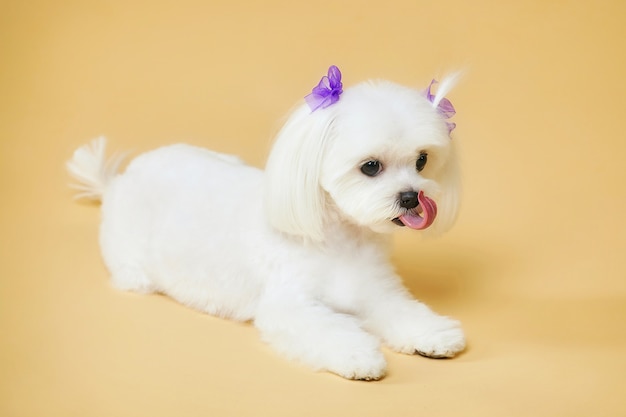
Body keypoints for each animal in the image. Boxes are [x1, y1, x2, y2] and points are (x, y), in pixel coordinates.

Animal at [67, 66, 464, 380]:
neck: (338, 236)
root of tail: (115, 182)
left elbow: (403, 310)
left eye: (422, 161)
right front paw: (359, 355)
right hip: (133, 265)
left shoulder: (376, 290)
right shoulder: (290, 305)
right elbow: (328, 330)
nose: (412, 197)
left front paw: (434, 333)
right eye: (370, 166)